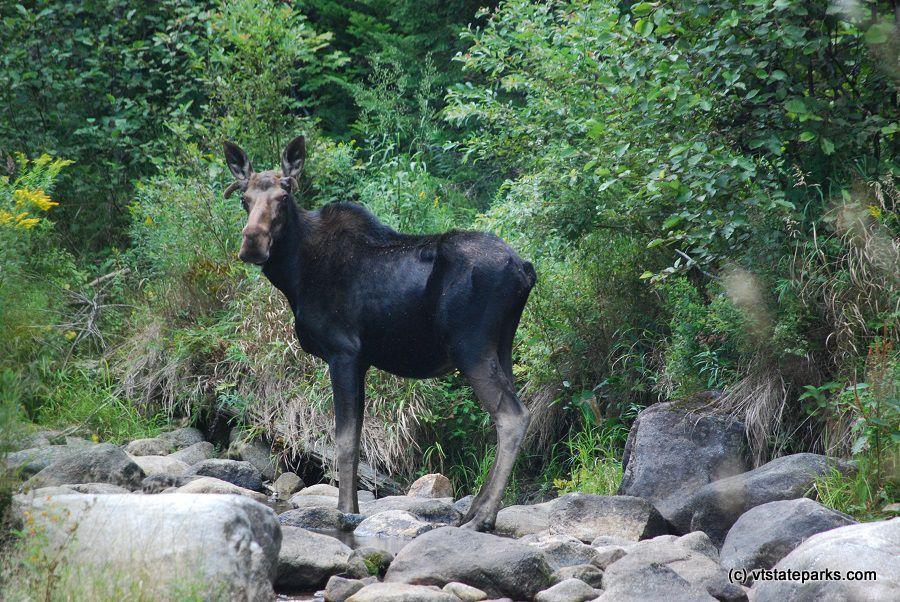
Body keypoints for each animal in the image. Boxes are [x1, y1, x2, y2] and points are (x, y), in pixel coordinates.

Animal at [222, 135, 536, 531]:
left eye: (284, 193)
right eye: (244, 198)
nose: (252, 243)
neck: (294, 276)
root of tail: (524, 269)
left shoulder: (343, 352)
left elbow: (343, 441)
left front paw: (345, 512)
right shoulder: (361, 361)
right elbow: (355, 439)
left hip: (471, 346)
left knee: (512, 416)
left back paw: (484, 516)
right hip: (503, 343)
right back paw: (472, 511)